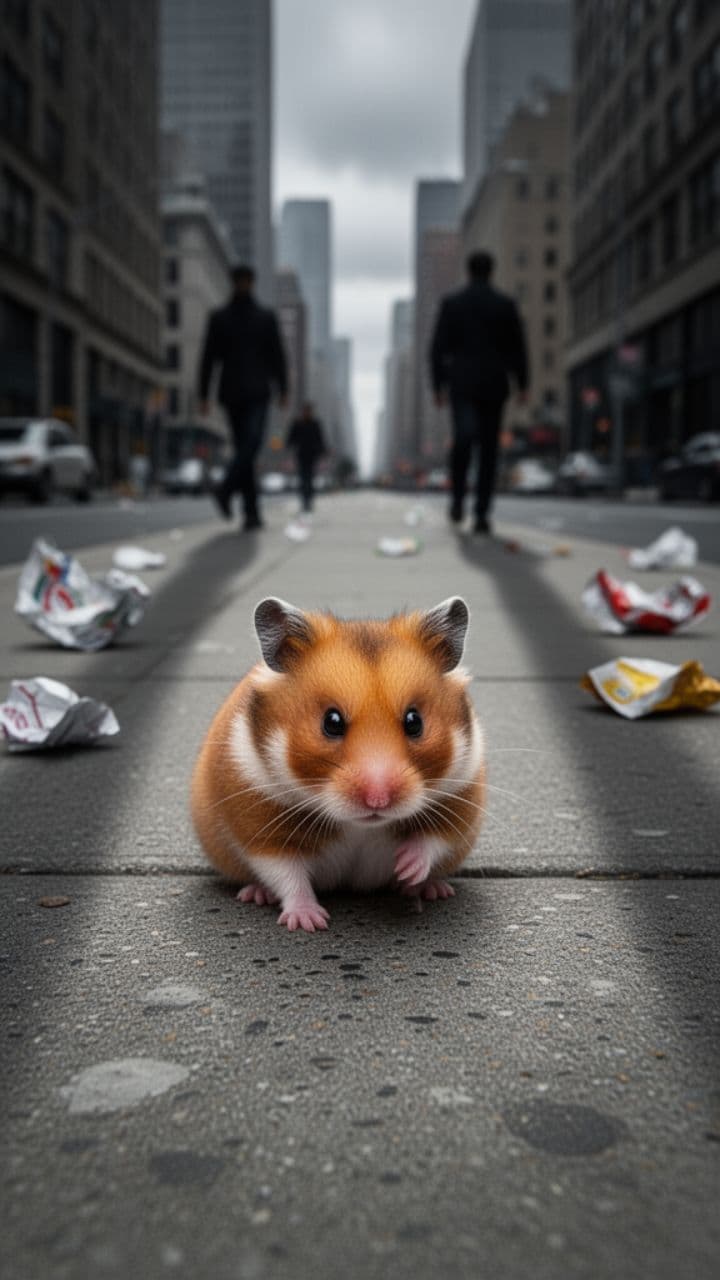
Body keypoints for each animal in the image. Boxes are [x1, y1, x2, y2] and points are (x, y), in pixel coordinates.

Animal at [191, 595, 485, 932]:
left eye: (415, 722)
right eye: (331, 723)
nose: (378, 800)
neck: (360, 825)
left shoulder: (462, 796)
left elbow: (434, 839)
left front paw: (407, 868)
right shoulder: (260, 827)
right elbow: (286, 875)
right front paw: (309, 922)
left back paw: (434, 889)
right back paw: (256, 895)